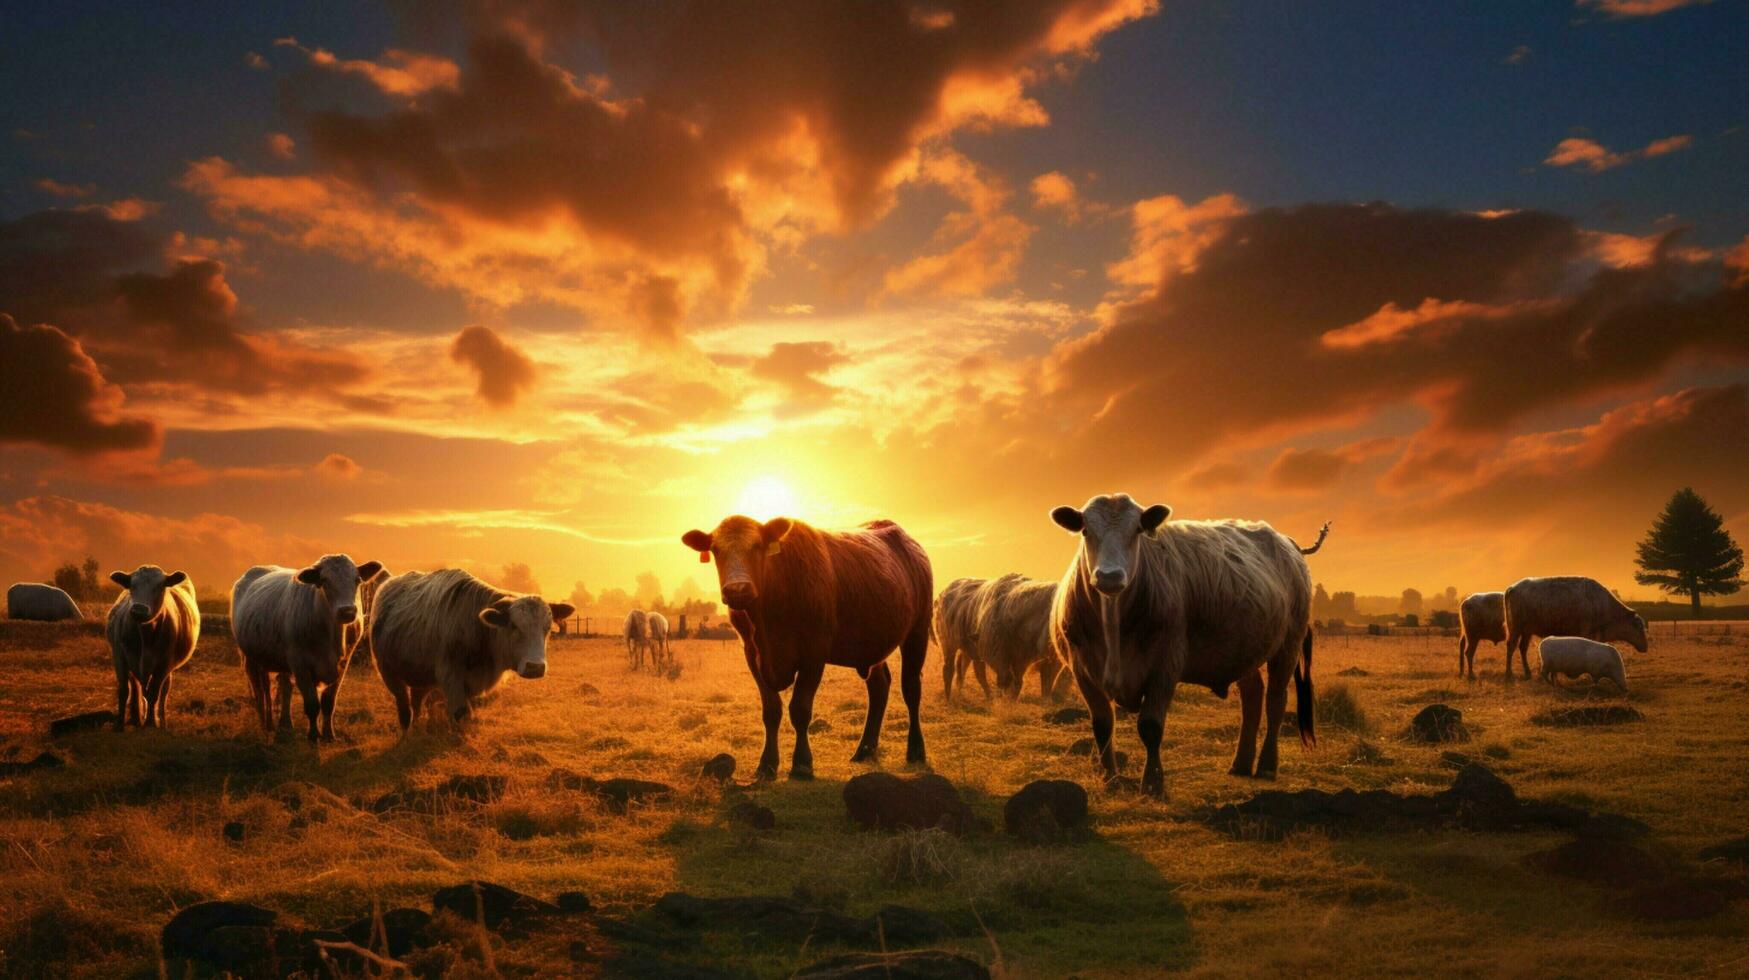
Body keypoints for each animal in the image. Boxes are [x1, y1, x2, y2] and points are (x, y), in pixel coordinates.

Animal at [105, 563, 200, 731]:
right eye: (132, 585)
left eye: (160, 587)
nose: (139, 610)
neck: (145, 635)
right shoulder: (119, 657)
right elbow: (124, 690)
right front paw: (120, 724)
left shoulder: (164, 665)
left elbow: (154, 693)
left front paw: (151, 722)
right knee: (136, 687)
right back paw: (136, 718)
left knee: (163, 692)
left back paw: (162, 721)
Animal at [230, 556, 384, 738]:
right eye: (324, 580)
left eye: (357, 580)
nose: (347, 611)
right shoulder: (301, 666)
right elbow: (312, 704)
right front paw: (313, 735)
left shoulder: (342, 666)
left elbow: (328, 703)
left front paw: (329, 735)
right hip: (250, 658)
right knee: (260, 690)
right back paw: (265, 724)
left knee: (283, 688)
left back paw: (285, 724)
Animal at [682, 514, 937, 780]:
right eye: (716, 550)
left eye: (758, 546)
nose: (737, 589)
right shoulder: (752, 654)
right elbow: (771, 711)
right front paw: (766, 764)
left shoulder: (814, 654)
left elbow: (800, 709)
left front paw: (802, 764)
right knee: (879, 687)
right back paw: (865, 750)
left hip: (918, 631)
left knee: (911, 689)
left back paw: (916, 750)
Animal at [1042, 497, 1315, 798]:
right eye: (1086, 531)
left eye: (1137, 530)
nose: (1110, 577)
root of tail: (1287, 543)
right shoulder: (1082, 669)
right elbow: (1102, 725)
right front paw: (1111, 779)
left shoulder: (1166, 664)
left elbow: (1150, 726)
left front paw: (1152, 783)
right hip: (1243, 649)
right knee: (1252, 695)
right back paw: (1241, 763)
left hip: (1289, 644)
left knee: (1275, 700)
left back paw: (1267, 765)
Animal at [1497, 577, 1644, 679]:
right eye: (1638, 627)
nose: (1645, 647)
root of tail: (1512, 588)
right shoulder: (1587, 631)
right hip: (1516, 629)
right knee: (1511, 646)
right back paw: (1508, 674)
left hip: (1527, 631)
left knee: (1523, 648)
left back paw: (1528, 673)